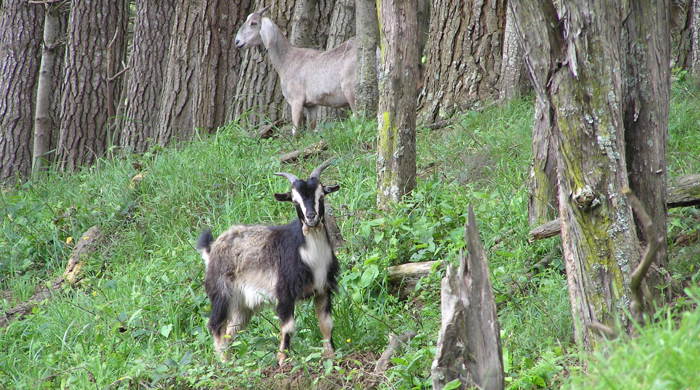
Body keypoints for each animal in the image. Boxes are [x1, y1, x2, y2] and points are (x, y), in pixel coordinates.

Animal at [196, 158, 340, 366]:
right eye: (294, 201)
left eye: (321, 196)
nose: (311, 217)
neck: (311, 257)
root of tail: (212, 248)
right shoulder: (284, 293)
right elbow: (288, 328)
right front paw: (282, 360)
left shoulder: (323, 290)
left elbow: (326, 324)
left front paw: (331, 356)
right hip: (221, 293)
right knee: (216, 325)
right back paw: (224, 363)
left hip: (243, 305)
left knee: (232, 329)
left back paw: (232, 361)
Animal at [234, 6, 356, 136]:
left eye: (253, 23)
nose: (237, 42)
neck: (287, 61)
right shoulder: (311, 105)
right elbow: (311, 130)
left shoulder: (296, 100)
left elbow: (295, 131)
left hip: (350, 89)